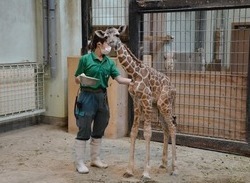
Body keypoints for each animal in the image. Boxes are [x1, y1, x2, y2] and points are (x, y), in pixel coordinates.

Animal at [95, 26, 178, 182]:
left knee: (172, 127)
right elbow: (133, 132)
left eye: (117, 34)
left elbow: (147, 133)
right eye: (106, 36)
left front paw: (146, 173)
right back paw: (163, 164)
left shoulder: (146, 99)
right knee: (166, 129)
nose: (111, 44)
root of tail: (174, 88)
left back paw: (175, 168)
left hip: (165, 104)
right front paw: (129, 170)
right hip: (157, 107)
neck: (133, 73)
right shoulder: (136, 101)